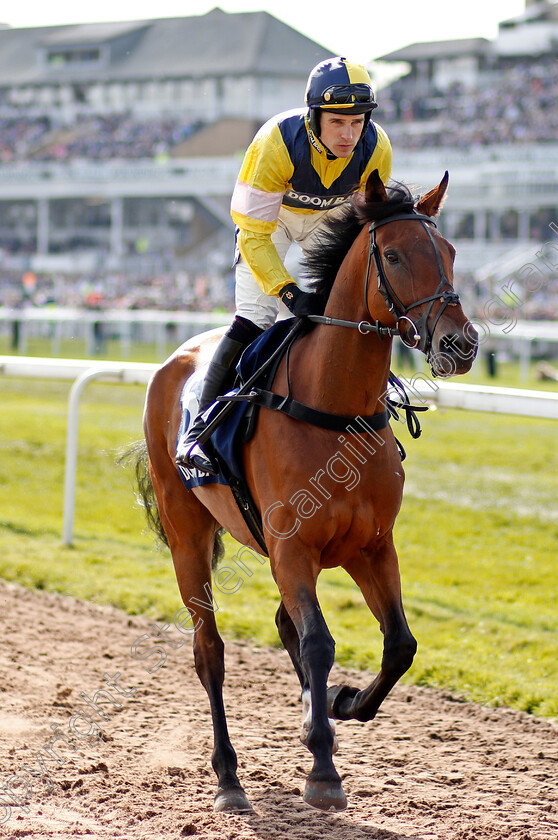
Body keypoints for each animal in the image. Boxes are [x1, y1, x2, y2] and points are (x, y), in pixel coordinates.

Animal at [137, 171, 482, 812]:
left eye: (449, 253)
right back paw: (229, 777)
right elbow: (319, 642)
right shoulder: (293, 547)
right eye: (393, 255)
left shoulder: (371, 546)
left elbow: (400, 644)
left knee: (282, 623)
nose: (460, 344)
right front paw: (322, 769)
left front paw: (341, 706)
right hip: (187, 532)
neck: (333, 409)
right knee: (209, 650)